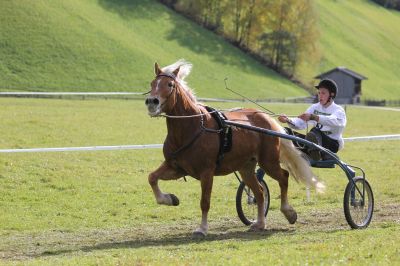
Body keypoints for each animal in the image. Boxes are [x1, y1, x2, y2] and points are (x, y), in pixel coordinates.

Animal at [145, 59, 324, 237]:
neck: (192, 127)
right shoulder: (177, 167)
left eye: (169, 84)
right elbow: (152, 177)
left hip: (268, 162)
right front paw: (170, 199)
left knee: (283, 177)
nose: (151, 102)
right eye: (152, 83)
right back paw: (260, 223)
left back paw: (288, 212)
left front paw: (202, 228)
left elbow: (205, 201)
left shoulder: (206, 172)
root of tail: (265, 118)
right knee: (259, 192)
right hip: (246, 167)